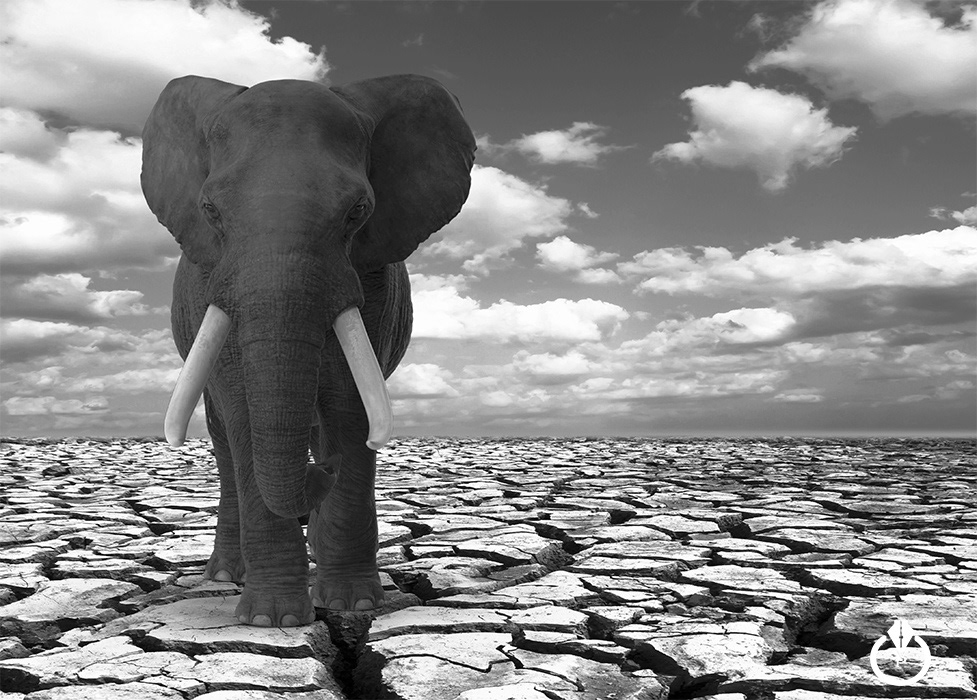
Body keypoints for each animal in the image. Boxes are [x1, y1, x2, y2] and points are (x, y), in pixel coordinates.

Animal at [141, 74, 475, 626]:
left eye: (358, 211)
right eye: (210, 211)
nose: (322, 474)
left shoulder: (371, 284)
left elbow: (351, 411)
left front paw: (353, 605)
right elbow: (244, 414)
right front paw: (271, 620)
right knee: (225, 442)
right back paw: (226, 575)